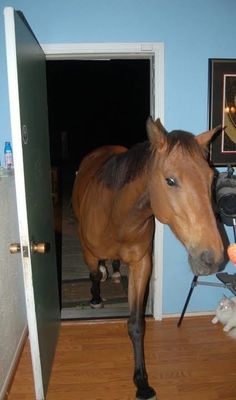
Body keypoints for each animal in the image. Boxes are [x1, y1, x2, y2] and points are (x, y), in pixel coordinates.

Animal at [72, 118, 225, 400]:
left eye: (212, 178)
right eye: (170, 180)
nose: (214, 258)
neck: (116, 216)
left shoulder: (142, 264)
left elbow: (136, 325)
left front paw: (142, 382)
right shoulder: (89, 253)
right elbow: (94, 273)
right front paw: (96, 297)